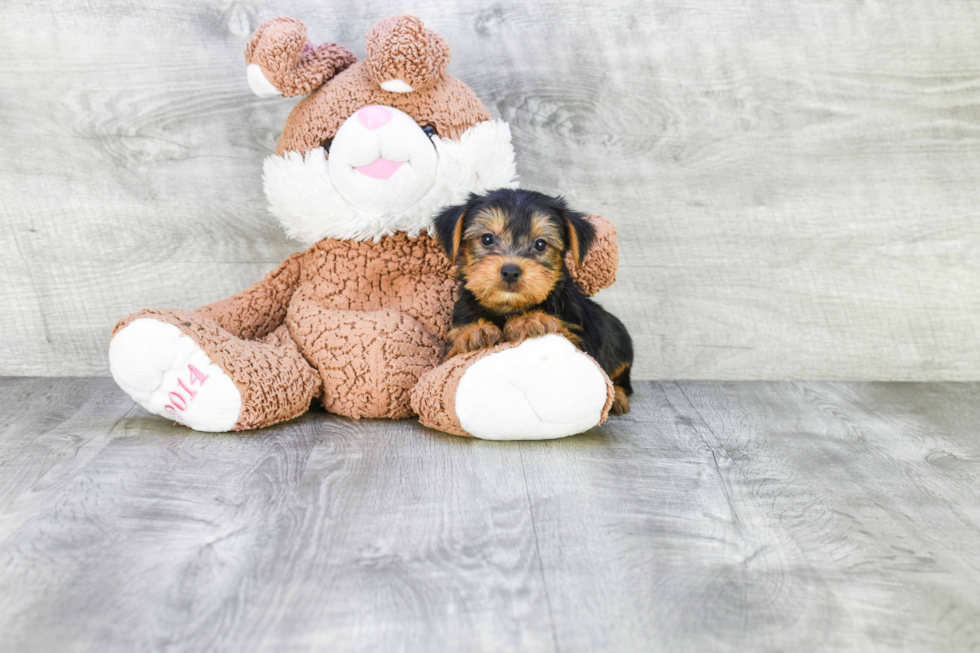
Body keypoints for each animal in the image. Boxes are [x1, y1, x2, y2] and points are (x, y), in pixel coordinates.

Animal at [434, 187, 636, 412]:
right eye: (487, 239)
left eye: (540, 244)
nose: (510, 271)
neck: (509, 307)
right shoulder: (447, 354)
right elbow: (451, 355)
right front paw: (474, 332)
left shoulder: (580, 339)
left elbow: (566, 333)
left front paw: (530, 319)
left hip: (620, 344)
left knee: (621, 379)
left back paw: (617, 397)